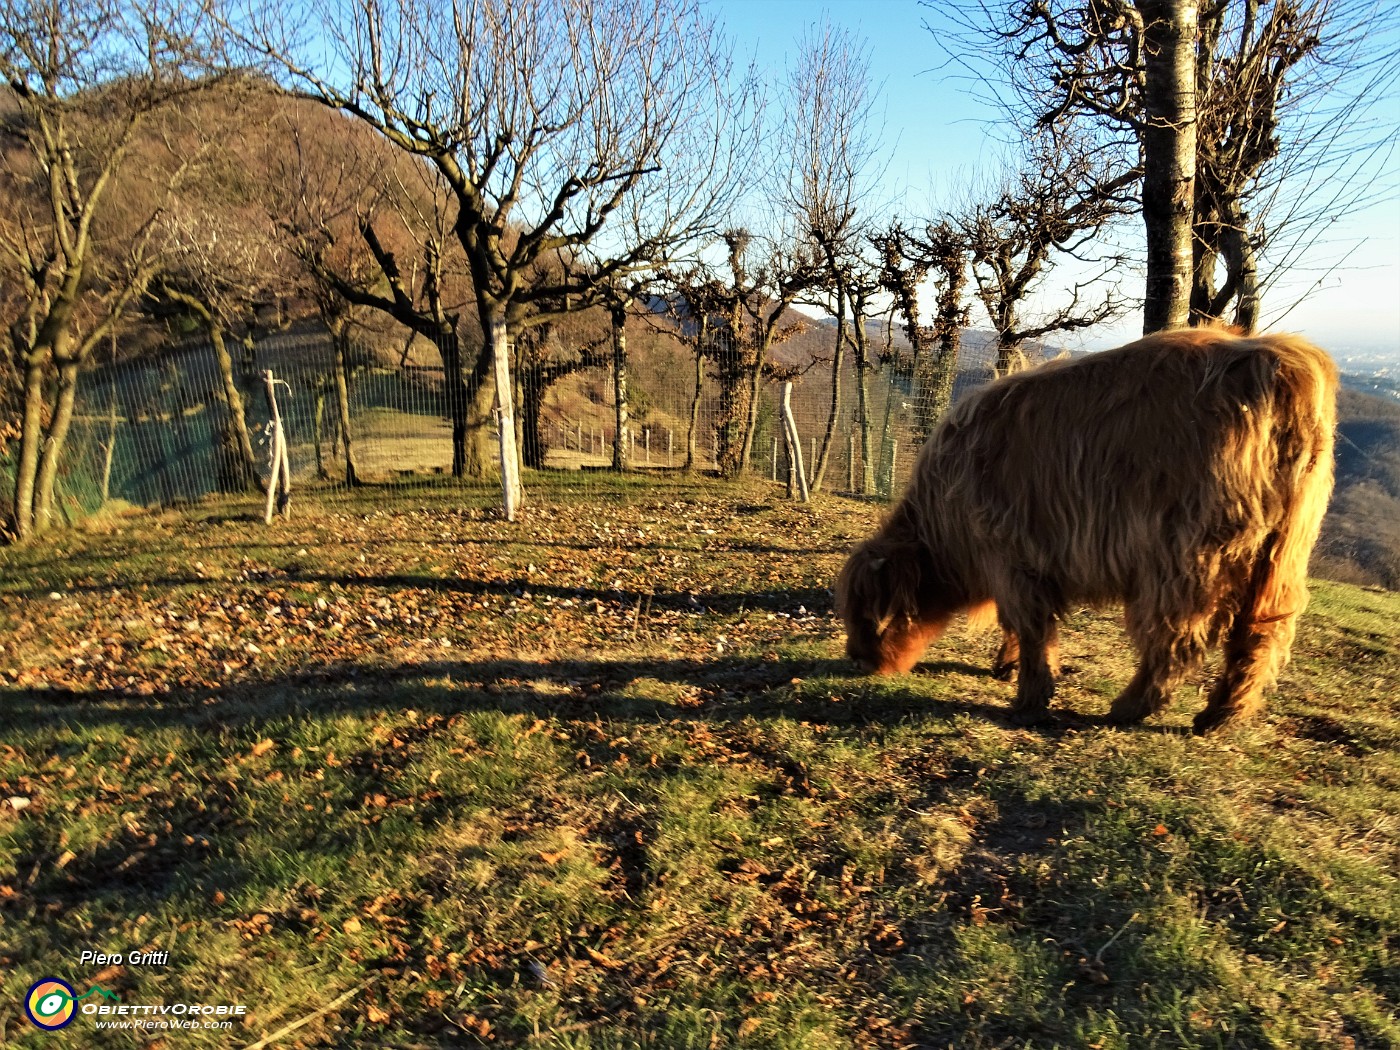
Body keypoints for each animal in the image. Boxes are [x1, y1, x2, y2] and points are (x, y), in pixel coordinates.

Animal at [834, 327, 1338, 733]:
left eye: (870, 616)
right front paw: (1007, 667)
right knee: (1260, 633)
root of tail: (1284, 362)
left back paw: (1129, 708)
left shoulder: (1011, 557)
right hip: (1281, 556)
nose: (856, 659)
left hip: (1186, 557)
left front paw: (1029, 699)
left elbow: (1031, 628)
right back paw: (1220, 717)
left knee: (1177, 639)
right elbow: (1021, 627)